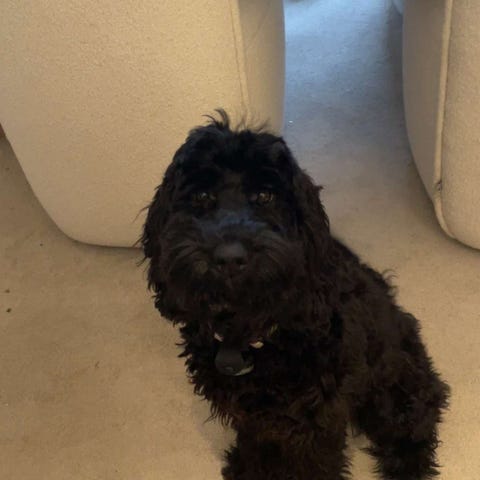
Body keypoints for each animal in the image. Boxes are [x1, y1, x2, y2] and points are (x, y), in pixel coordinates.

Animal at [141, 110, 449, 480]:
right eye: (201, 196)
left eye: (265, 196)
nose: (230, 257)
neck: (250, 333)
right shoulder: (254, 417)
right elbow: (257, 446)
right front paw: (246, 468)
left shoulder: (316, 421)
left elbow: (313, 464)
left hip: (394, 388)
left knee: (417, 422)